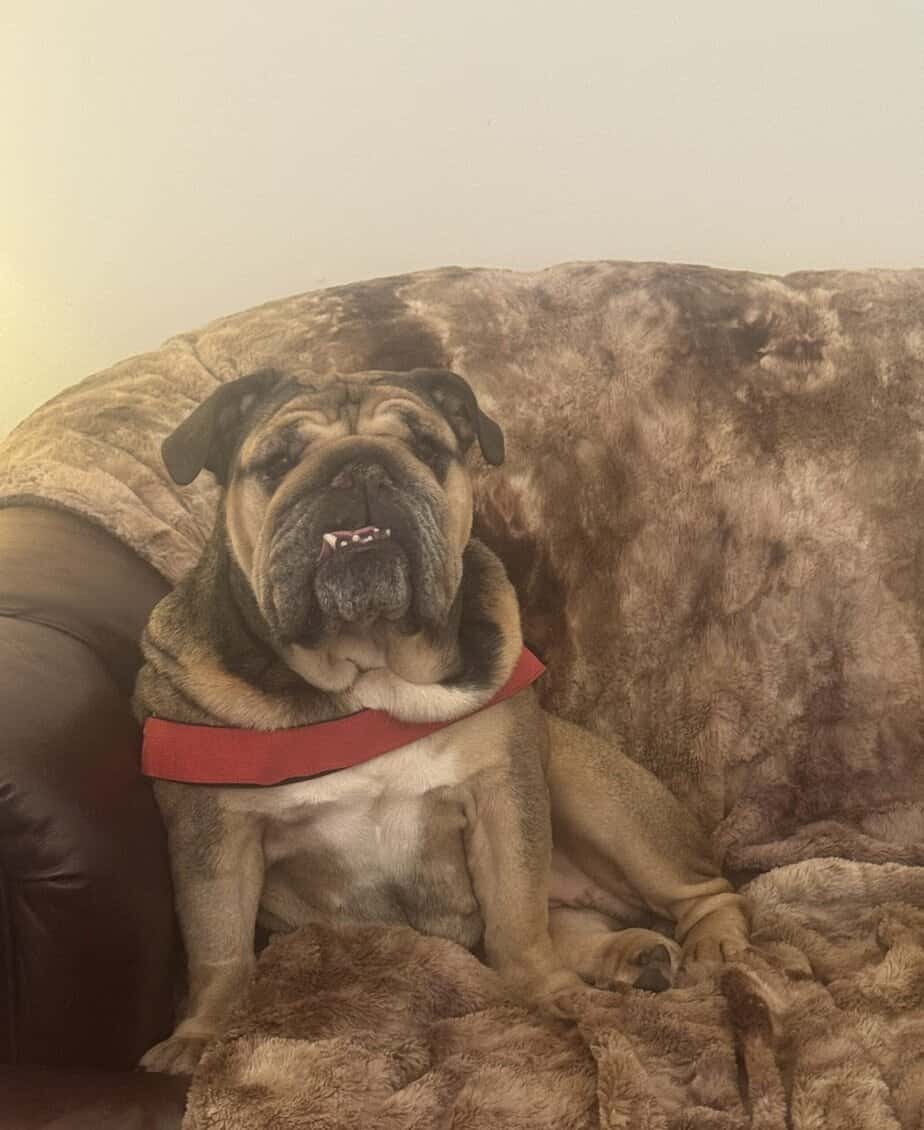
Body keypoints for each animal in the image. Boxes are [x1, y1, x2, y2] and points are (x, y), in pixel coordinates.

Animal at [135, 367, 749, 1074]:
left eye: (426, 449)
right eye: (279, 462)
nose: (361, 467)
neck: (366, 672)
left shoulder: (504, 792)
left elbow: (516, 916)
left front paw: (550, 994)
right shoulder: (212, 834)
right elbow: (220, 945)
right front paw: (200, 1037)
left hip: (591, 788)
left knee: (705, 890)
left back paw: (712, 946)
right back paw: (633, 955)